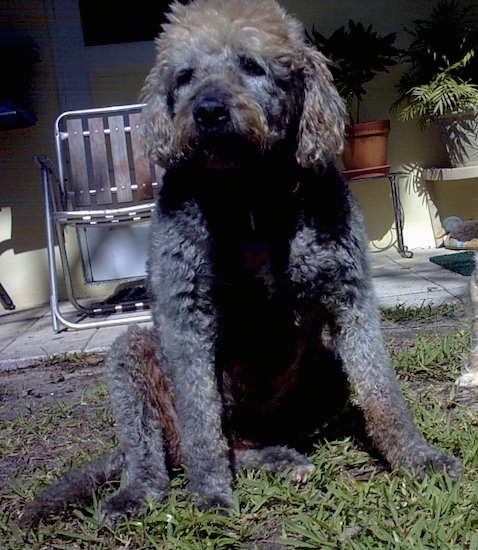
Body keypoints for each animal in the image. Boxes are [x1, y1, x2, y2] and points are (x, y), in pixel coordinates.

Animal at [22, 0, 460, 528]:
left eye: (252, 65)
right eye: (184, 75)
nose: (208, 111)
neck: (250, 195)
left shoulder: (349, 297)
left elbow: (382, 393)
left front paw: (417, 458)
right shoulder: (186, 315)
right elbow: (202, 424)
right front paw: (211, 496)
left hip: (327, 371)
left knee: (252, 443)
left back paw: (278, 457)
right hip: (132, 360)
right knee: (161, 452)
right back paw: (140, 491)